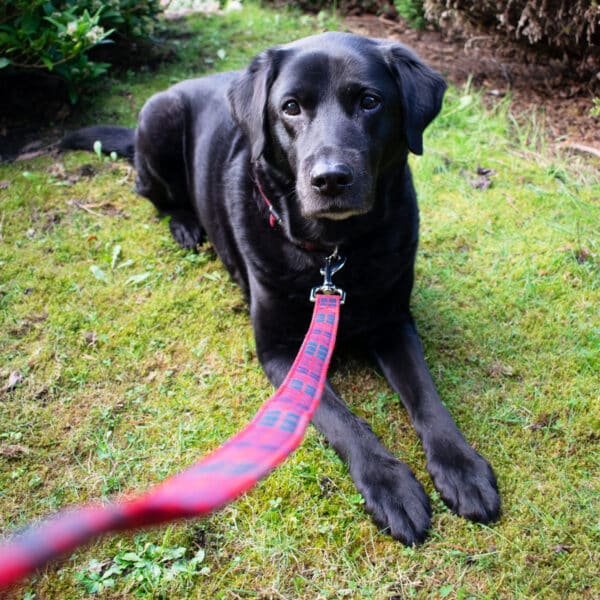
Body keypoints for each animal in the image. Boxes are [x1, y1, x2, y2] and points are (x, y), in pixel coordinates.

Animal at [62, 31, 502, 544]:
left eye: (370, 102)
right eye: (290, 107)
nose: (330, 179)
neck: (334, 254)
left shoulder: (394, 322)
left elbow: (428, 398)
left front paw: (461, 467)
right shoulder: (279, 352)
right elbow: (343, 420)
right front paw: (390, 484)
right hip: (158, 121)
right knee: (153, 195)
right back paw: (186, 225)